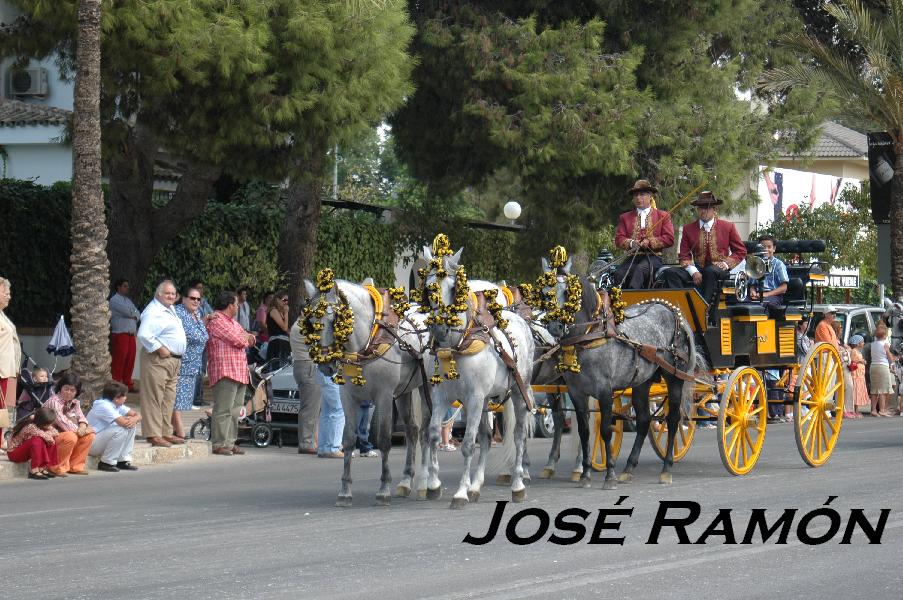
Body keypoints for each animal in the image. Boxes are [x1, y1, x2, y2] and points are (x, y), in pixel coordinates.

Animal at [416, 244, 536, 506]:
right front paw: (434, 484)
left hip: (518, 392)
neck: (457, 346)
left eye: (454, 288)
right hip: (485, 400)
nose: (440, 328)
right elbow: (433, 434)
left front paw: (460, 493)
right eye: (429, 288)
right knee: (487, 436)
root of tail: (519, 318)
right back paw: (476, 485)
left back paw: (518, 484)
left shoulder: (473, 397)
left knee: (519, 435)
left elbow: (469, 444)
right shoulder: (441, 397)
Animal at [536, 258, 700, 488]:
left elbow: (605, 430)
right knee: (644, 420)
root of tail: (669, 308)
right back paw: (629, 468)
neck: (590, 335)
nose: (555, 327)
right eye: (544, 293)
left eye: (568, 292)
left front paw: (609, 474)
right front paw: (585, 474)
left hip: (675, 376)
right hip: (642, 382)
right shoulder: (577, 393)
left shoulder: (605, 391)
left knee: (674, 419)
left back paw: (666, 469)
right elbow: (584, 431)